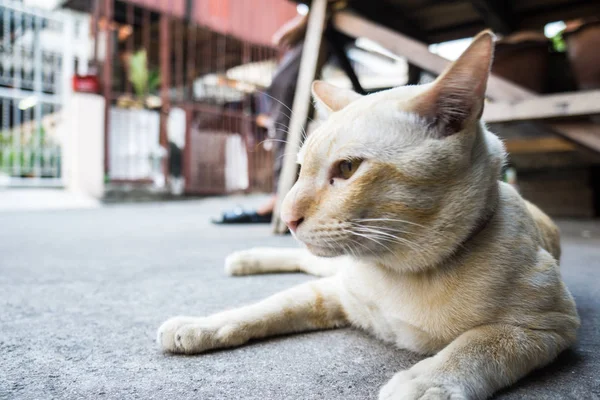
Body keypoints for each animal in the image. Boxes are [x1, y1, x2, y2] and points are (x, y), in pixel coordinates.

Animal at [157, 31, 580, 400]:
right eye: (300, 169)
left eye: (347, 169)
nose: (288, 217)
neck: (400, 273)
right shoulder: (332, 293)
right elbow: (269, 306)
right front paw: (201, 325)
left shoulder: (546, 325)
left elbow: (476, 345)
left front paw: (426, 382)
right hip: (330, 268)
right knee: (302, 261)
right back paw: (244, 259)